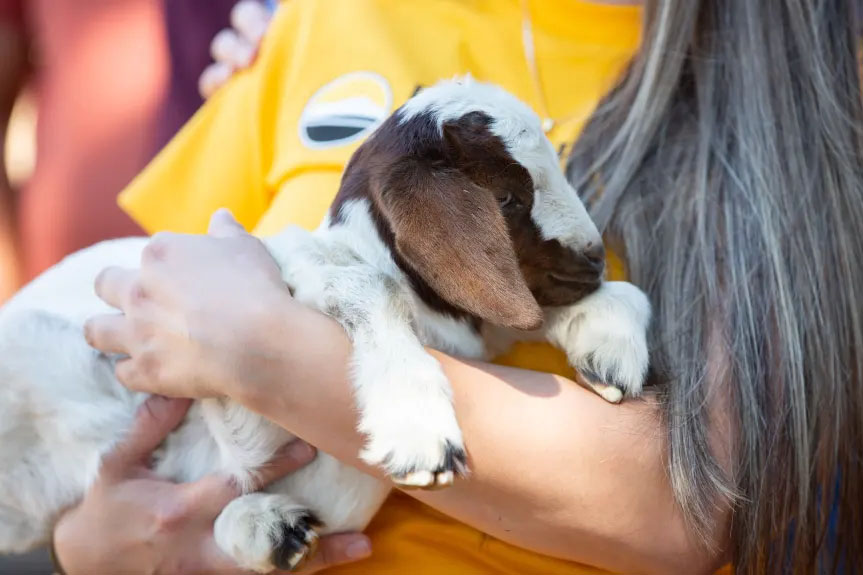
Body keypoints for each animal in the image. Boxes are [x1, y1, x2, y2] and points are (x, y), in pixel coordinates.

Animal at [0, 77, 652, 572]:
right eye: (510, 200)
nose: (594, 258)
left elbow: (578, 305)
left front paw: (609, 345)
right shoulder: (246, 422)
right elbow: (368, 287)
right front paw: (418, 429)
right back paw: (263, 525)